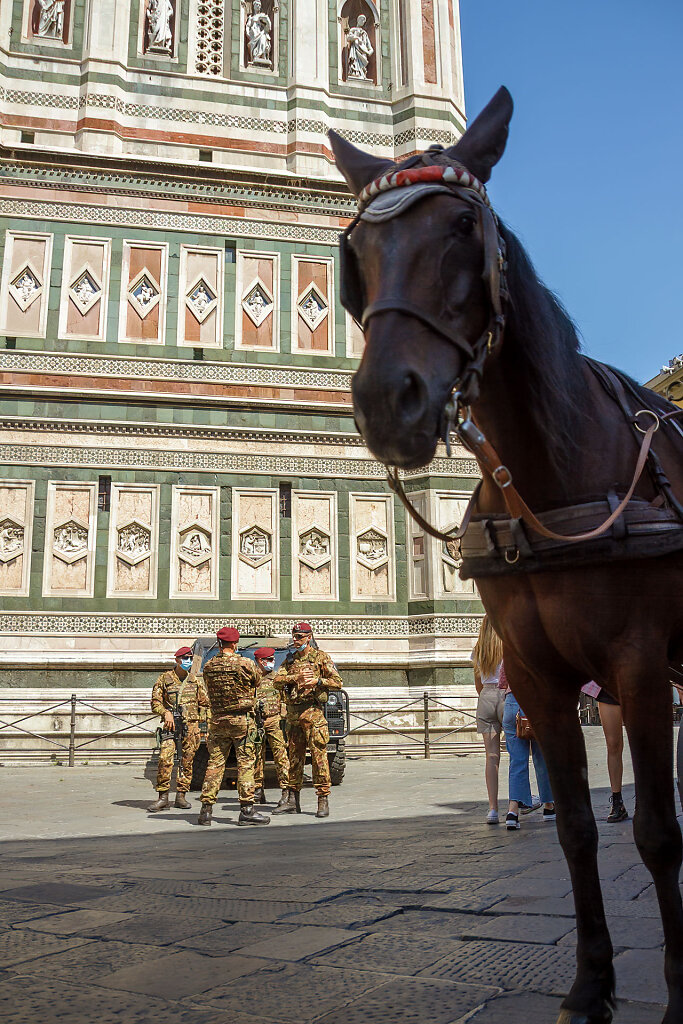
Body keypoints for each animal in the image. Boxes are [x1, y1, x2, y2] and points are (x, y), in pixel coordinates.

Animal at [329, 90, 683, 1024]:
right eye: (356, 251)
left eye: (462, 225)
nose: (387, 402)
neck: (547, 477)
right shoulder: (532, 674)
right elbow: (574, 827)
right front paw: (588, 986)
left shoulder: (636, 666)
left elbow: (657, 832)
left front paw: (674, 994)